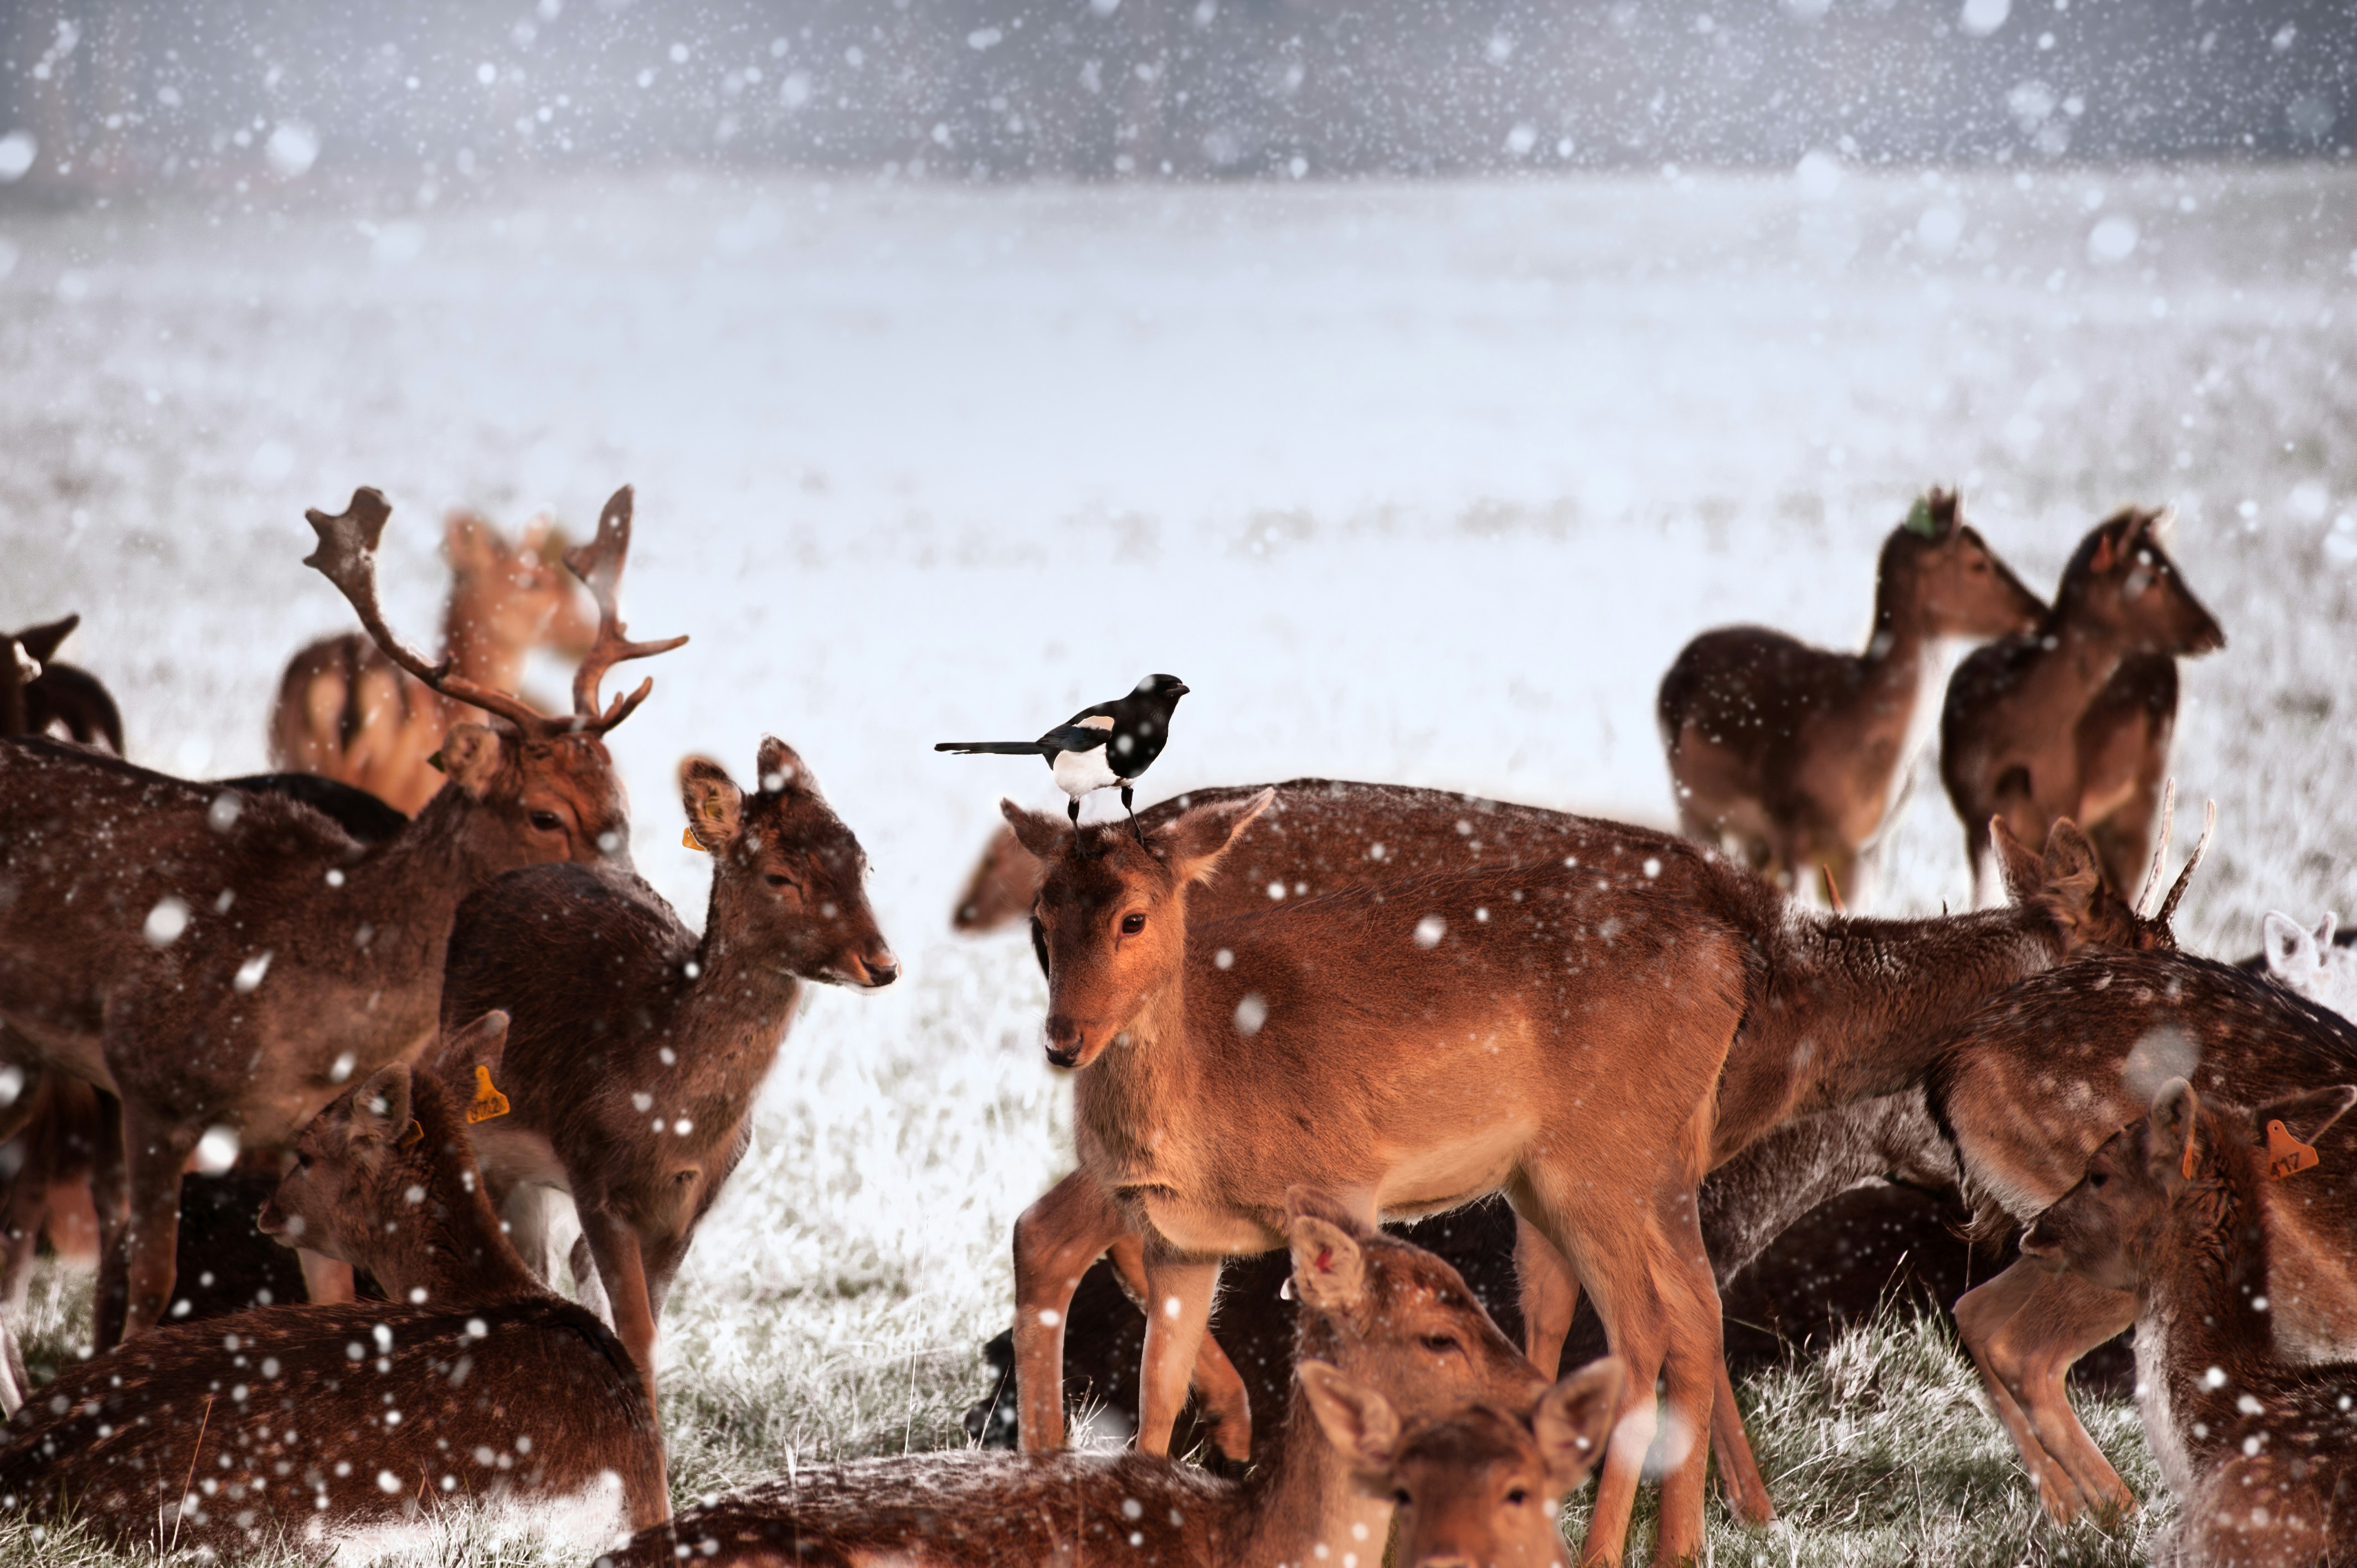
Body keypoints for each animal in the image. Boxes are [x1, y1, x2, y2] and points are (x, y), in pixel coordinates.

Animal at [425, 740, 897, 1419]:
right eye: (780, 876)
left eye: (862, 863)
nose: (882, 965)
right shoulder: (595, 1178)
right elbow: (635, 1330)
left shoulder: (690, 1206)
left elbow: (648, 1325)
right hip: (490, 1145)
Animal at [1941, 506, 2225, 902]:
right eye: (2149, 577)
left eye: (2174, 569)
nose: (2215, 632)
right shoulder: (1973, 813)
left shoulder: (2064, 801)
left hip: (2144, 788)